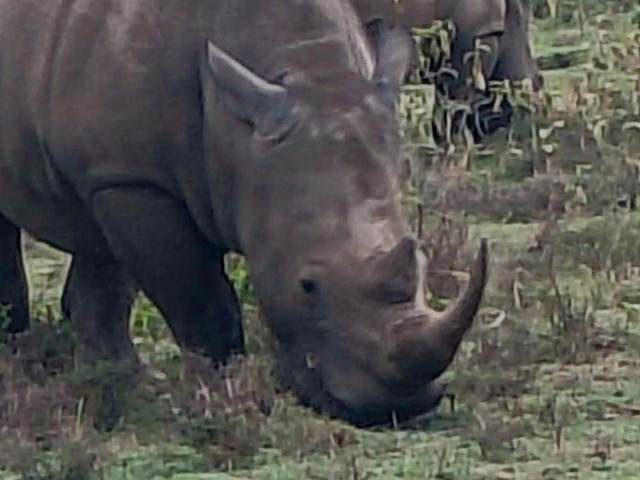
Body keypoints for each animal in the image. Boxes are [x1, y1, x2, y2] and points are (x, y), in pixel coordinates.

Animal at [0, 0, 487, 426]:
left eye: (424, 263)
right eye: (307, 285)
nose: (397, 407)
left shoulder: (112, 171)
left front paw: (127, 386)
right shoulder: (134, 178)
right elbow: (202, 304)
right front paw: (225, 399)